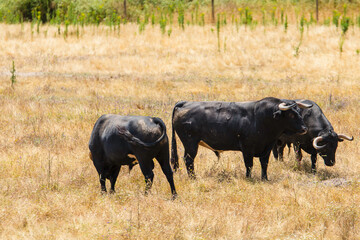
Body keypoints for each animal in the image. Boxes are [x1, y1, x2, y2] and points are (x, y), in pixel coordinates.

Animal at [170, 97, 310, 180]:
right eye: (291, 114)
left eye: (299, 112)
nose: (304, 128)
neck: (261, 118)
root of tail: (184, 103)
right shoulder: (247, 148)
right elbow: (249, 164)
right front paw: (248, 178)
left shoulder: (267, 147)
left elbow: (264, 163)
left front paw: (264, 178)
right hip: (191, 143)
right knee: (189, 160)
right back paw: (193, 178)